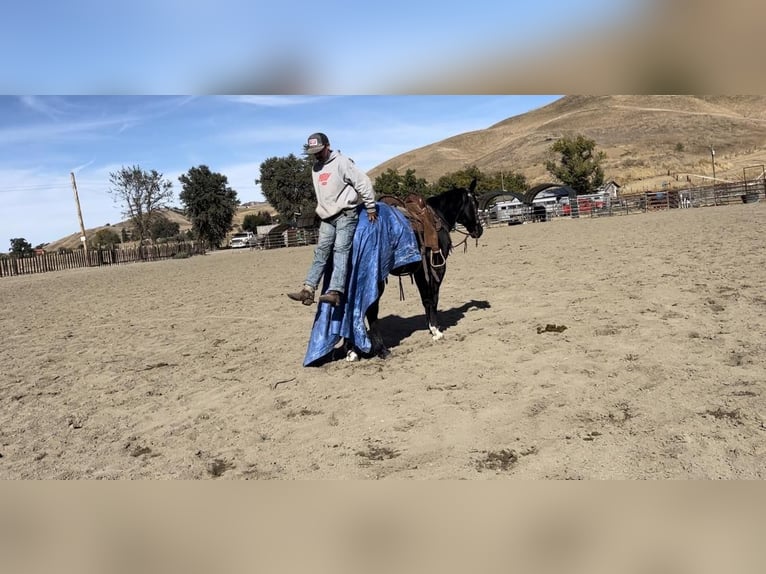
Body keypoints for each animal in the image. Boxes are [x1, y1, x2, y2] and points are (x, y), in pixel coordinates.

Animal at [350, 180, 486, 362]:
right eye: (475, 203)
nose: (479, 230)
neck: (438, 216)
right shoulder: (437, 267)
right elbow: (433, 298)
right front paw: (436, 330)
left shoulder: (420, 271)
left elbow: (425, 299)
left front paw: (431, 327)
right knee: (370, 310)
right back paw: (381, 350)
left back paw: (352, 351)